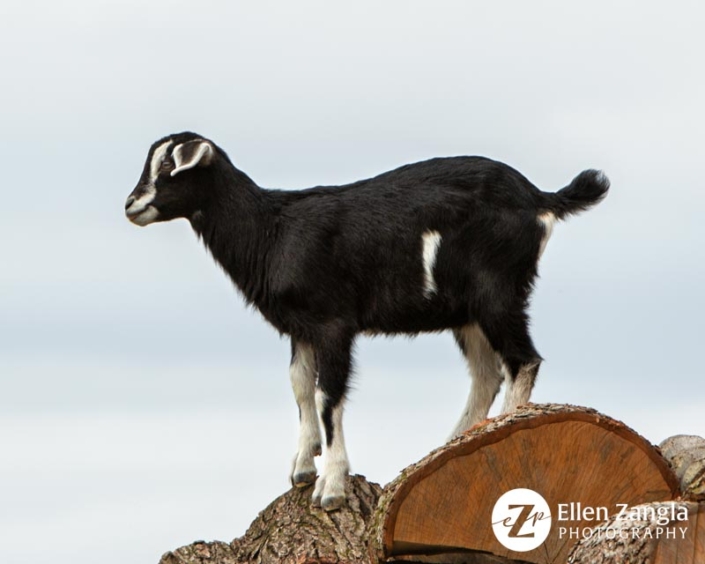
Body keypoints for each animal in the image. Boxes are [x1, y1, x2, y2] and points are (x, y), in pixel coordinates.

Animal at [124, 132, 608, 512]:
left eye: (169, 164)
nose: (131, 205)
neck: (274, 231)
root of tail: (540, 198)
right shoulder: (301, 328)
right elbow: (300, 386)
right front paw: (302, 468)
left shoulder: (333, 322)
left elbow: (328, 395)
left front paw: (330, 488)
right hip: (468, 311)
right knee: (487, 373)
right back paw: (452, 445)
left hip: (497, 290)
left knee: (522, 360)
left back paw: (504, 428)